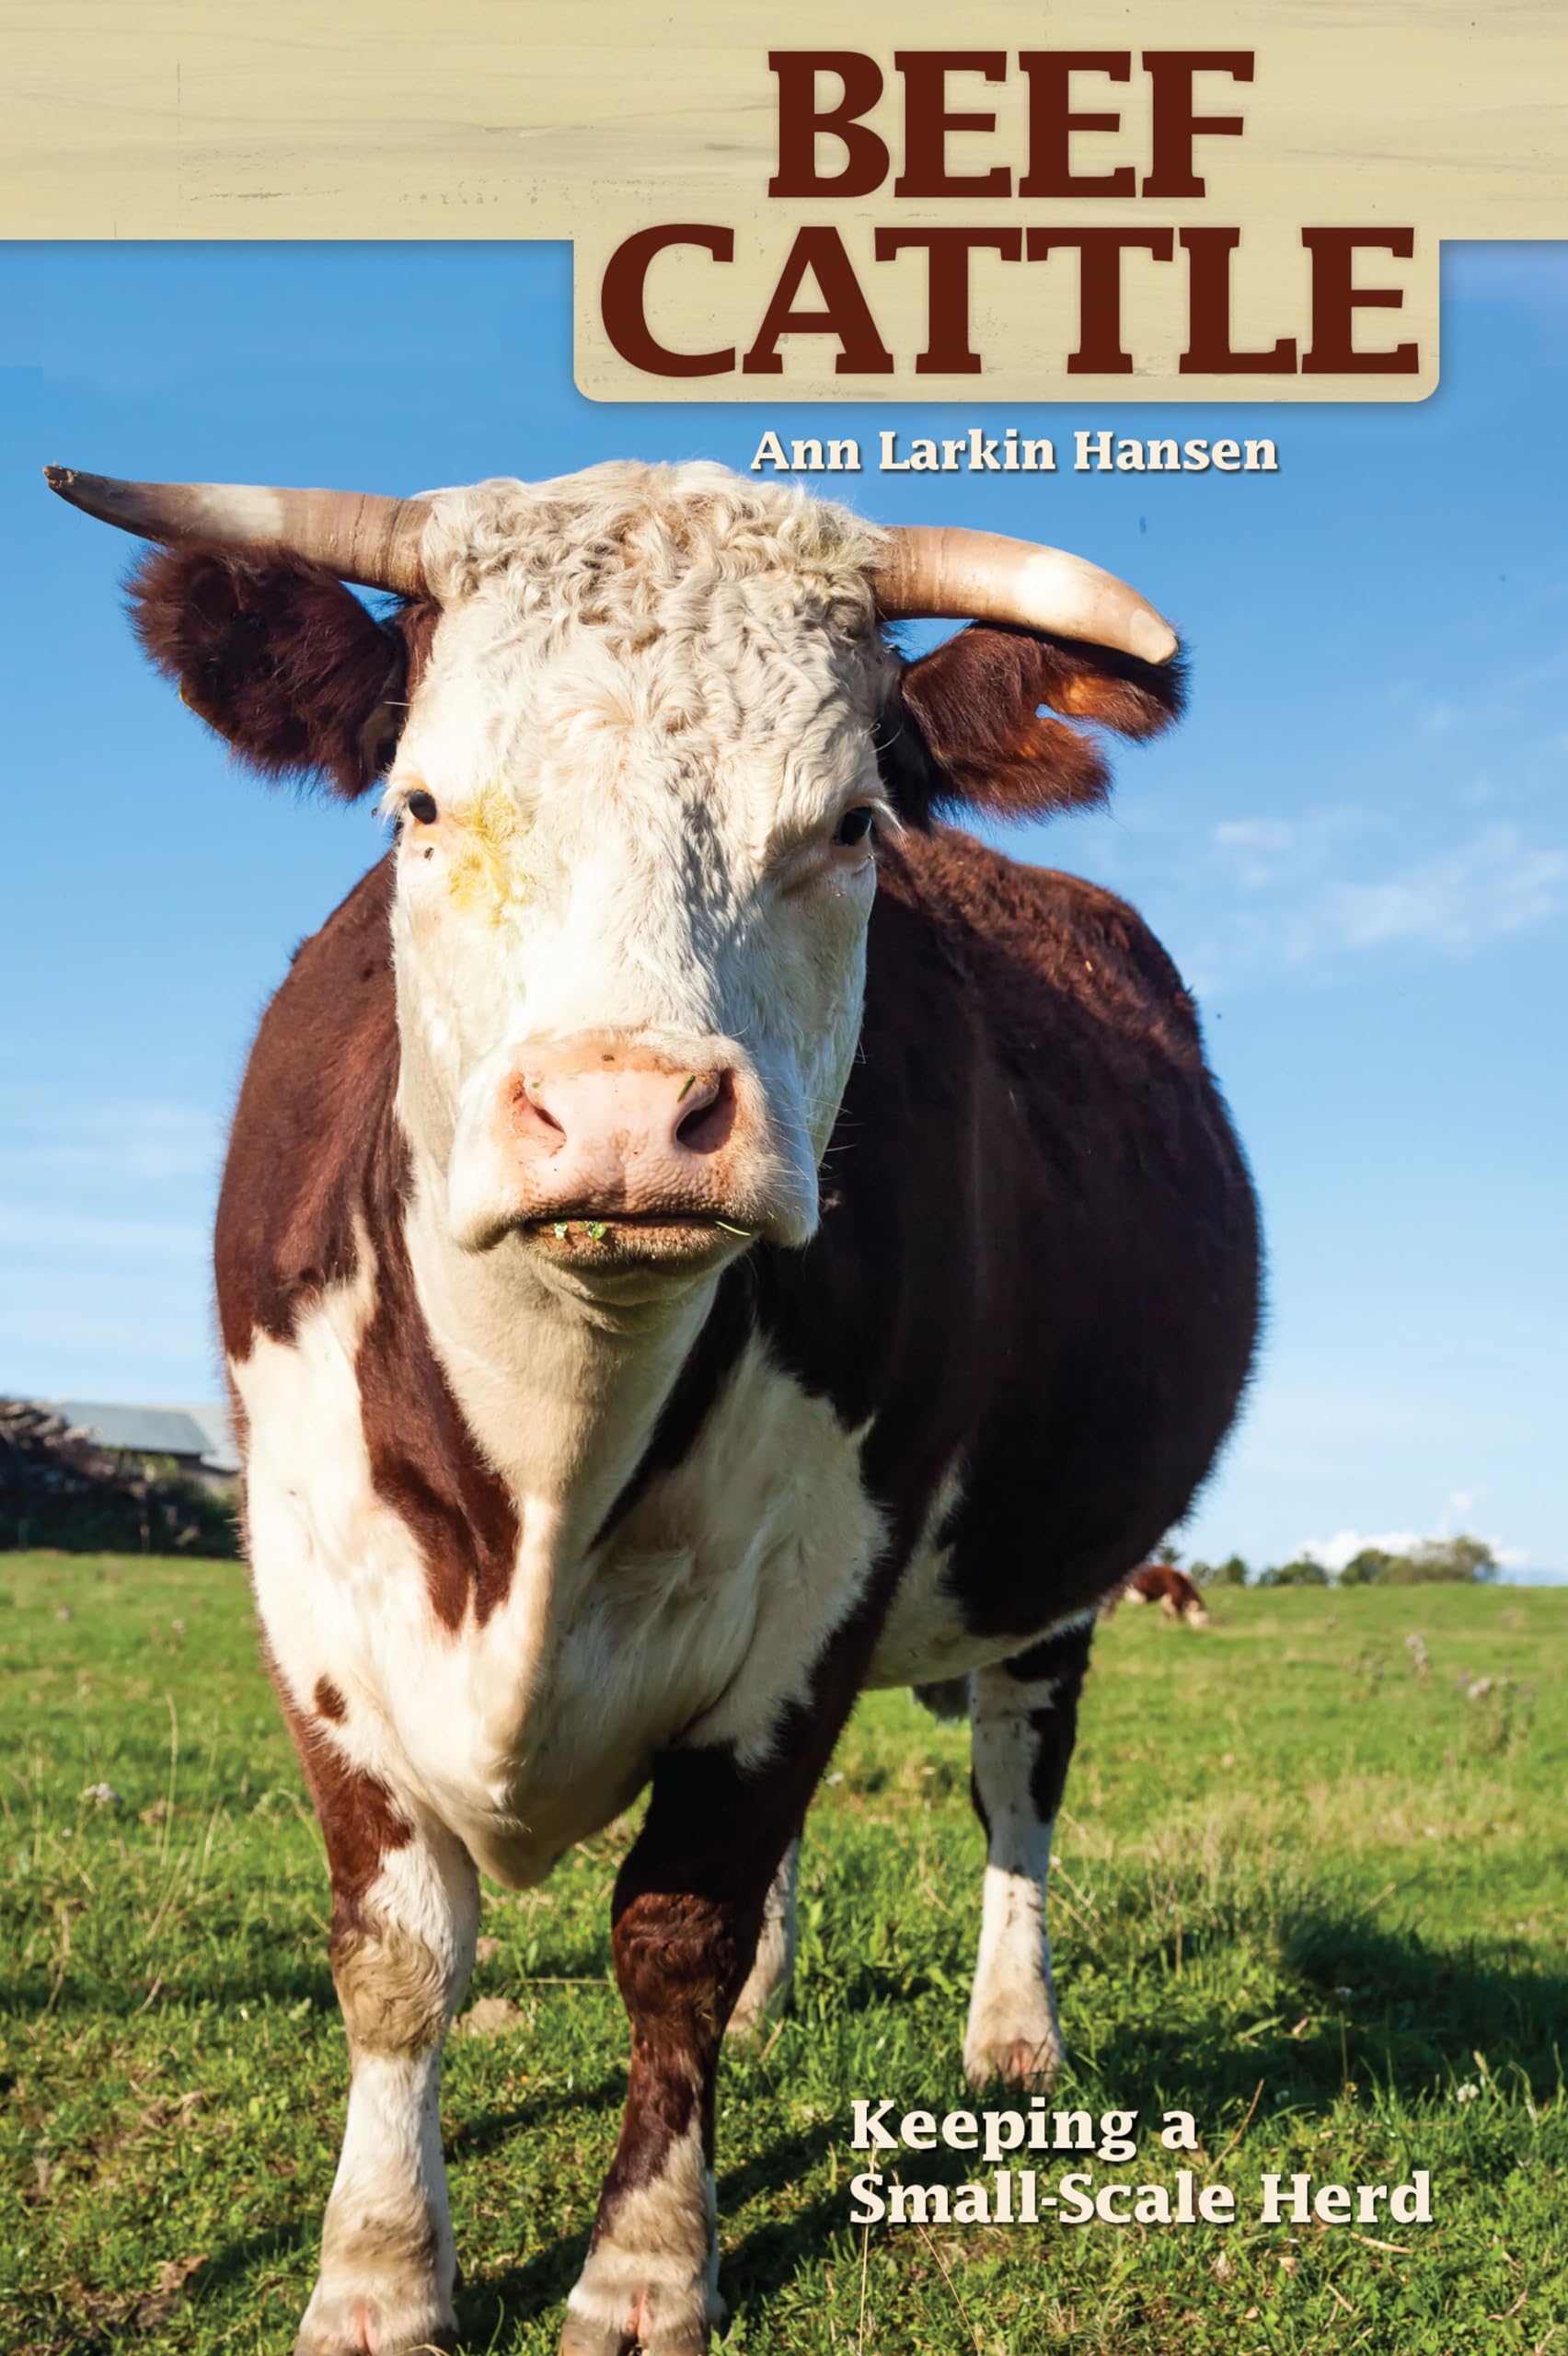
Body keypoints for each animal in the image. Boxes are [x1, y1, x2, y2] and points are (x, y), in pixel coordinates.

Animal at [48, 458, 1260, 2356]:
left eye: (847, 825)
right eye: (419, 804)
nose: (625, 1114)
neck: (546, 1476)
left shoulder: (821, 1591)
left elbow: (672, 1931)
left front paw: (643, 2268)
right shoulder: (311, 1587)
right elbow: (398, 1946)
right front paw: (373, 2274)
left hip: (1052, 1580)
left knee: (1011, 1784)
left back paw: (1009, 2032)